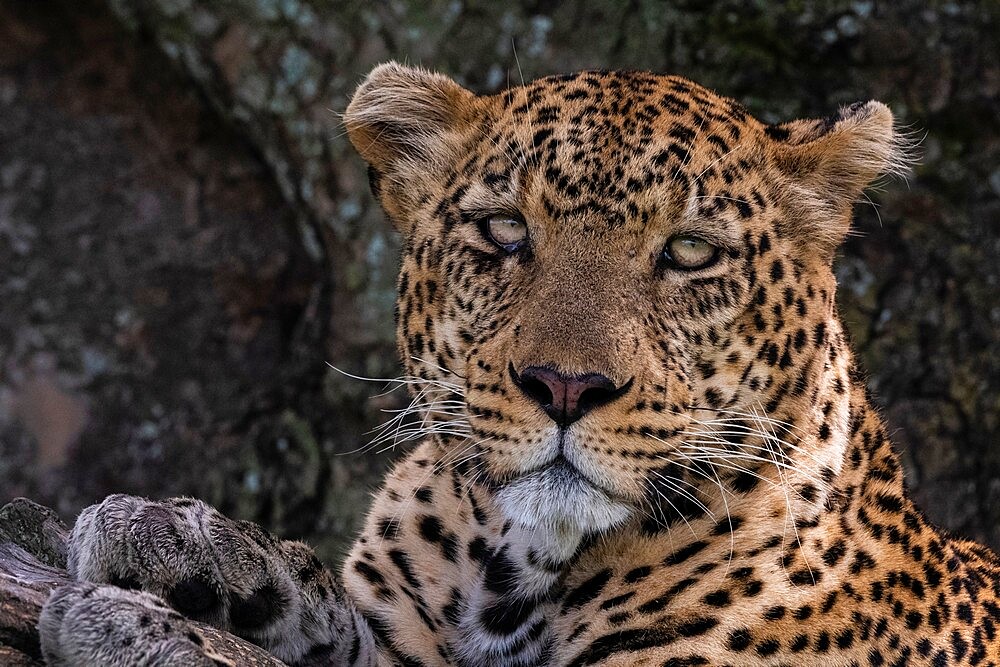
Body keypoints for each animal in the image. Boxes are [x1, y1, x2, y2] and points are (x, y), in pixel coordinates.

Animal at [33, 61, 1000, 664]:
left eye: (689, 251)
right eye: (504, 230)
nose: (566, 386)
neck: (517, 569)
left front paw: (146, 629)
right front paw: (186, 545)